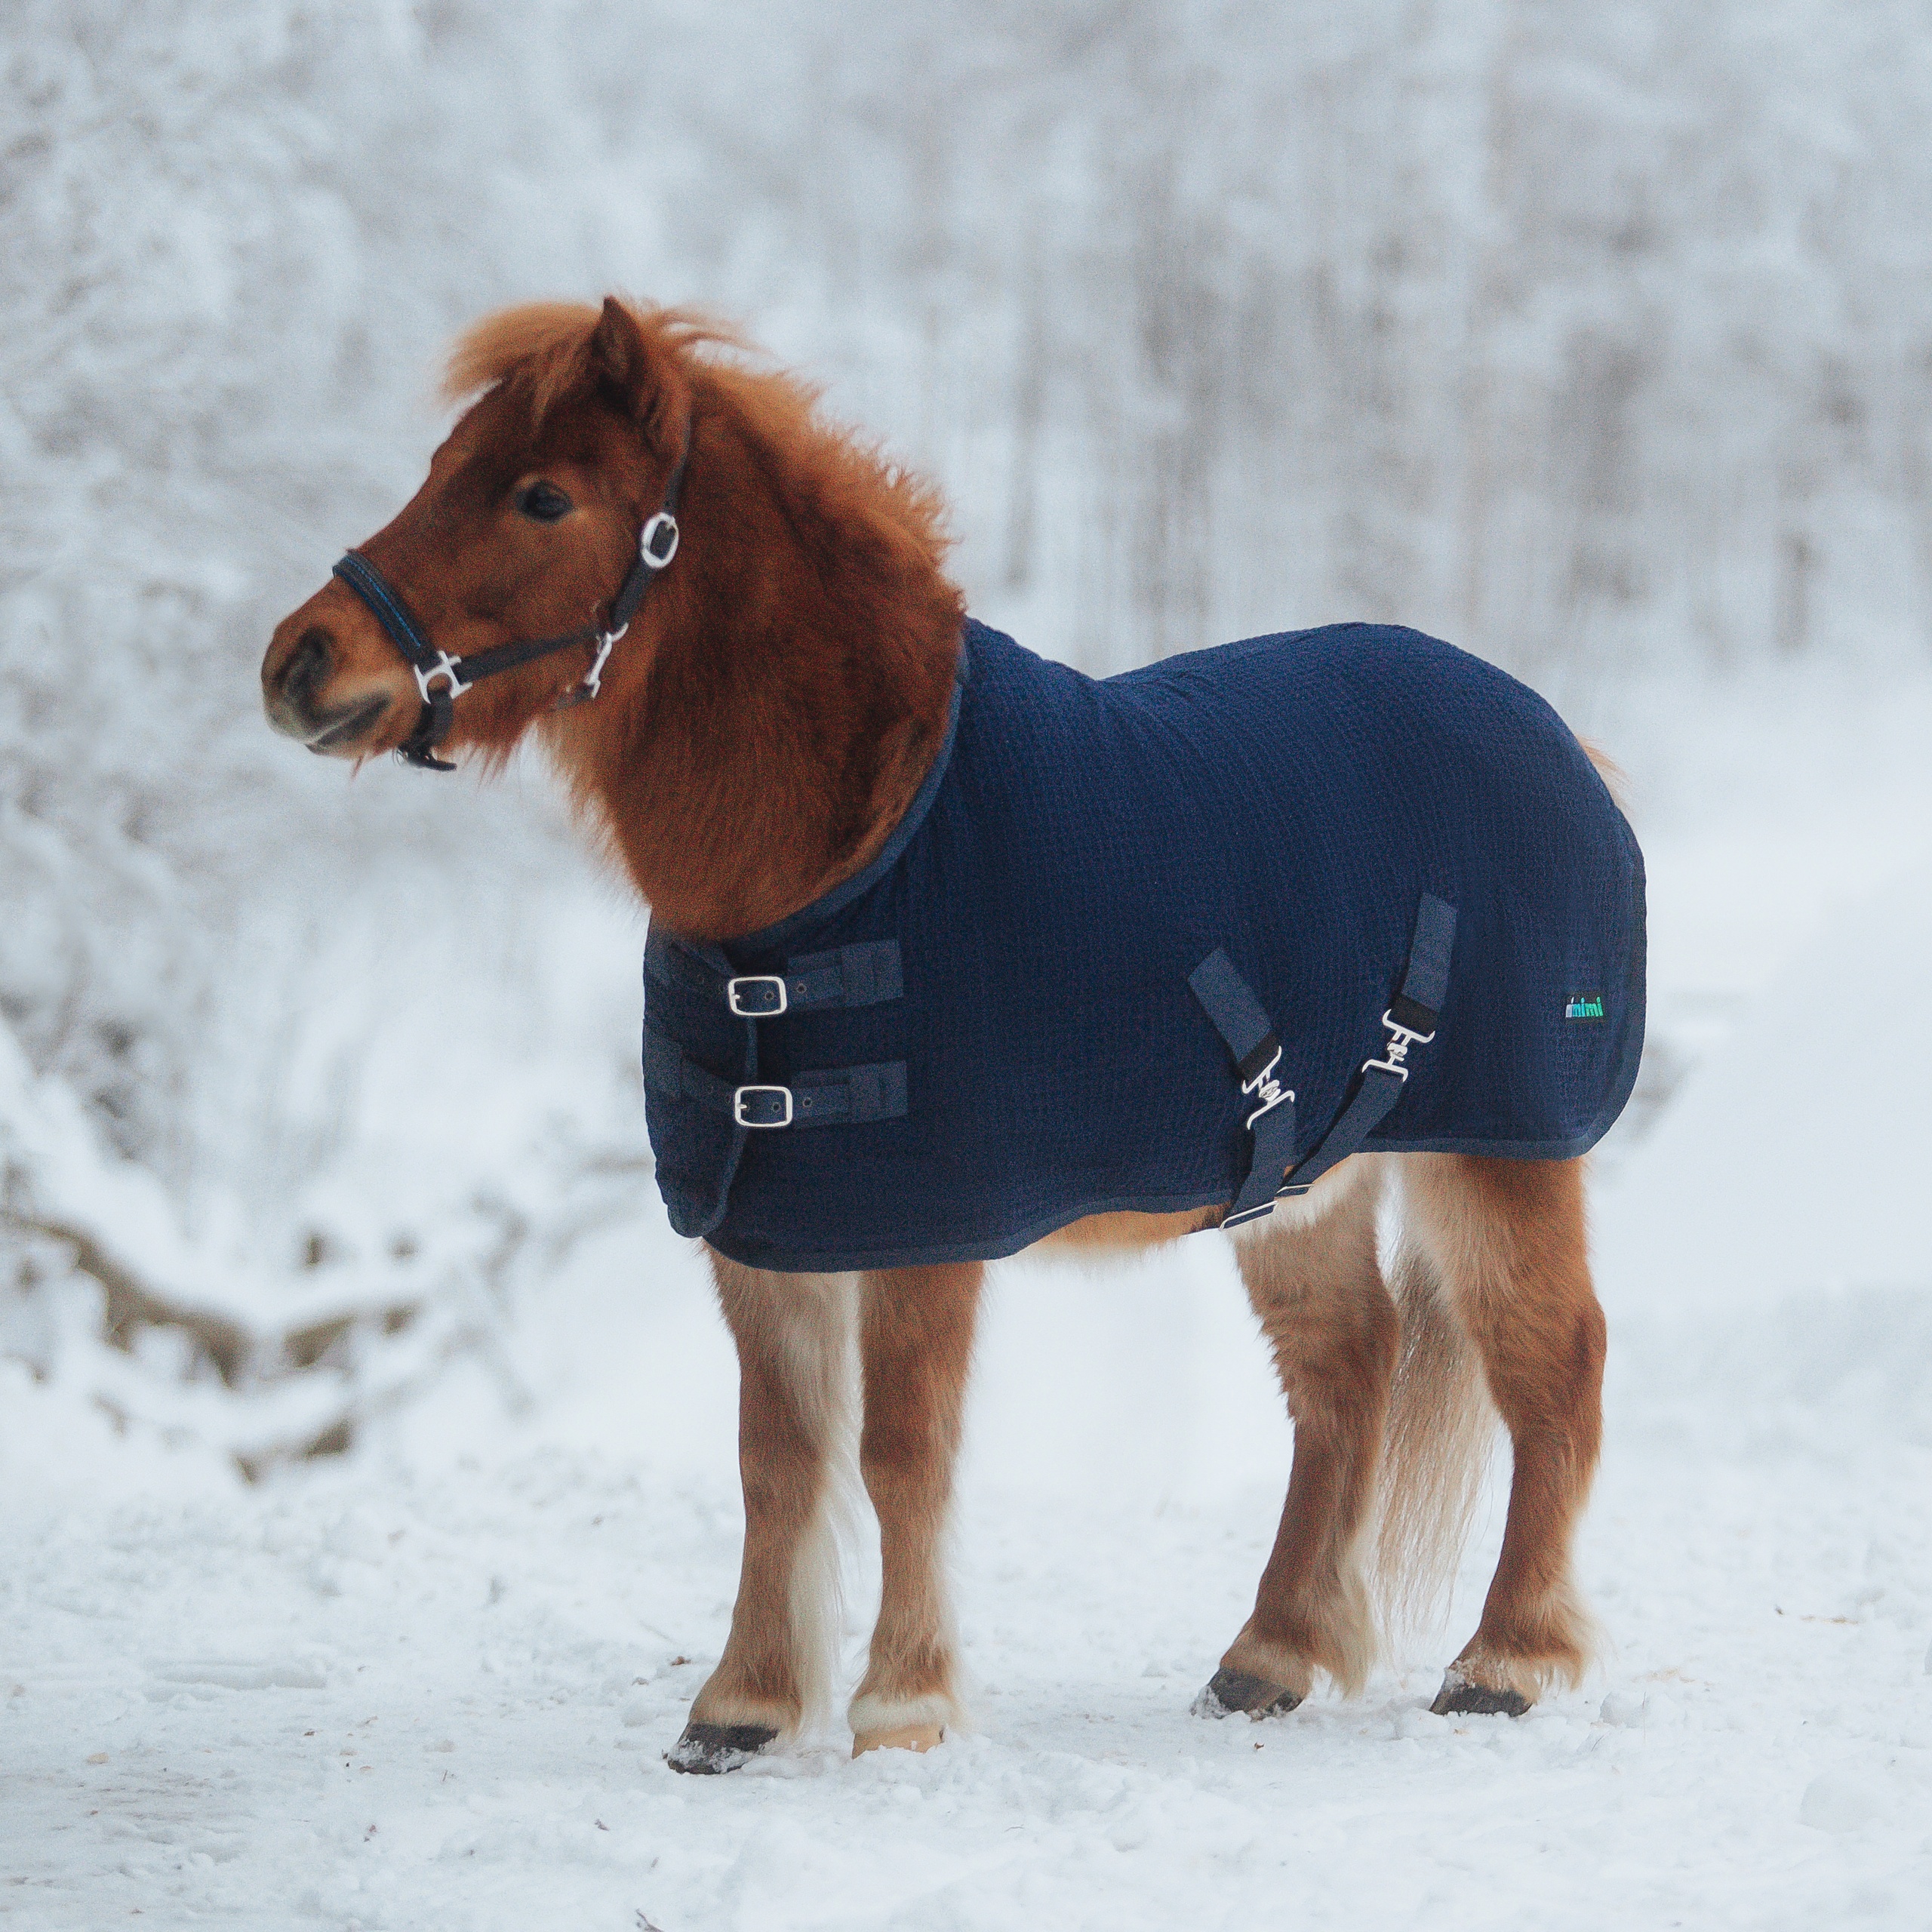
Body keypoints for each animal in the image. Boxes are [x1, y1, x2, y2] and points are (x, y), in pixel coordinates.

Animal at [262, 297, 1628, 1774]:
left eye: (542, 496)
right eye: (442, 464)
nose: (299, 663)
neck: (847, 860)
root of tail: (1563, 741)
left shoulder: (927, 1231)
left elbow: (901, 1452)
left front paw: (902, 1706)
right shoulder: (770, 1228)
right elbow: (779, 1458)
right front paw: (742, 1709)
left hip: (1497, 1159)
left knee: (1552, 1368)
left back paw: (1507, 1661)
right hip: (1301, 1191)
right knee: (1346, 1376)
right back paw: (1271, 1654)